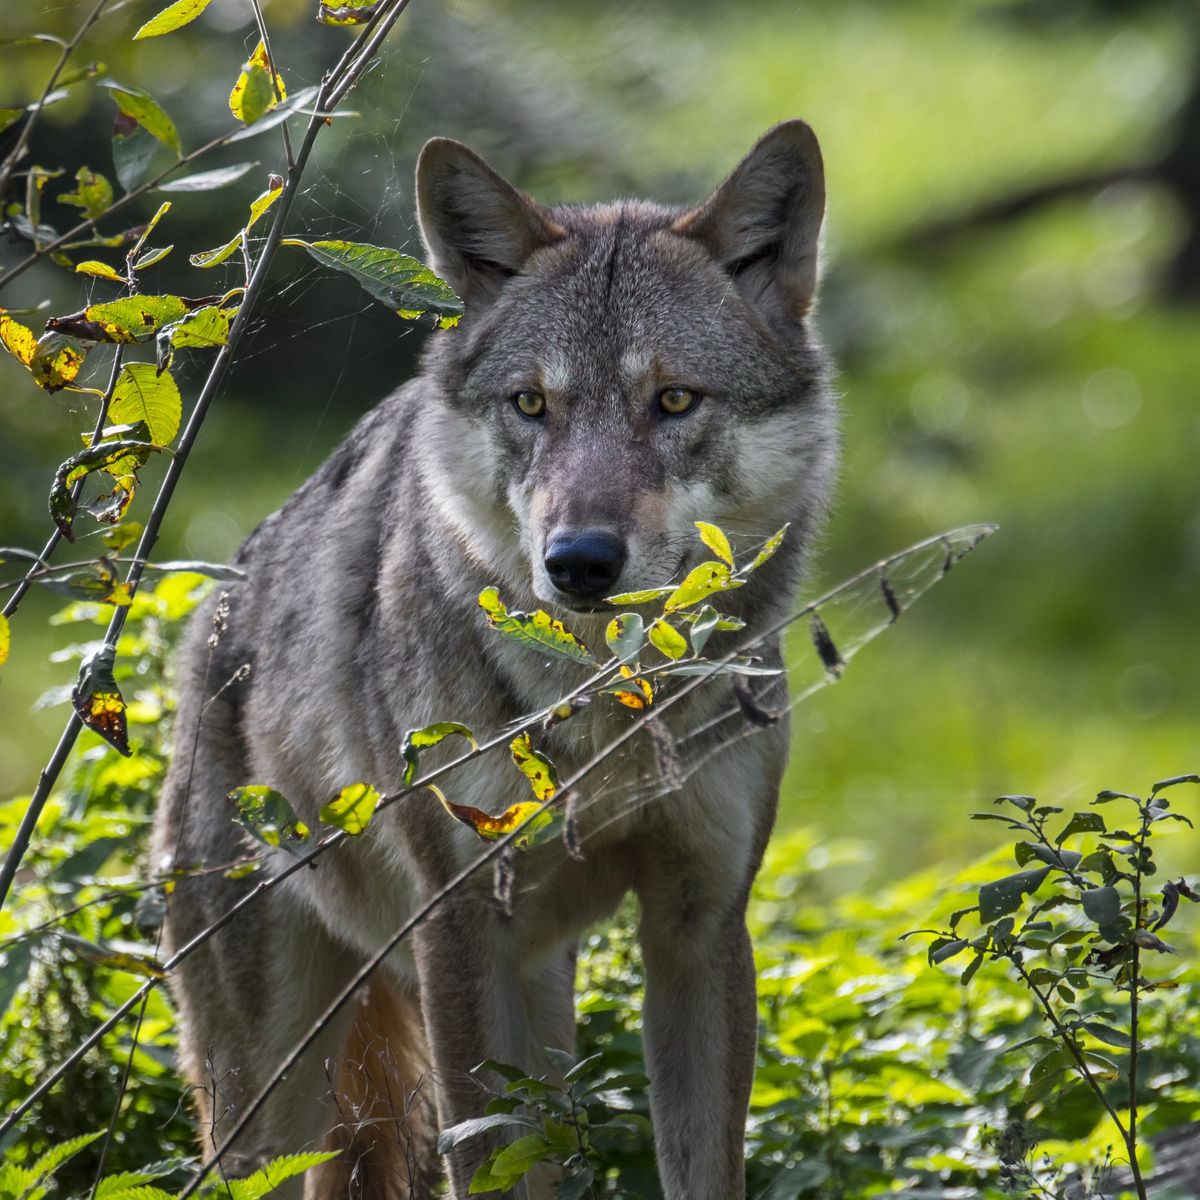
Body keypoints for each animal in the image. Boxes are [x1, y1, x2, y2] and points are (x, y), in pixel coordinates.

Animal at [152, 121, 835, 1200]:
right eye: (531, 404)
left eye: (674, 400)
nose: (579, 561)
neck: (604, 709)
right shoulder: (460, 928)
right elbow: (483, 1162)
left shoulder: (701, 927)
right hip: (269, 1103)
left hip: (534, 1002)